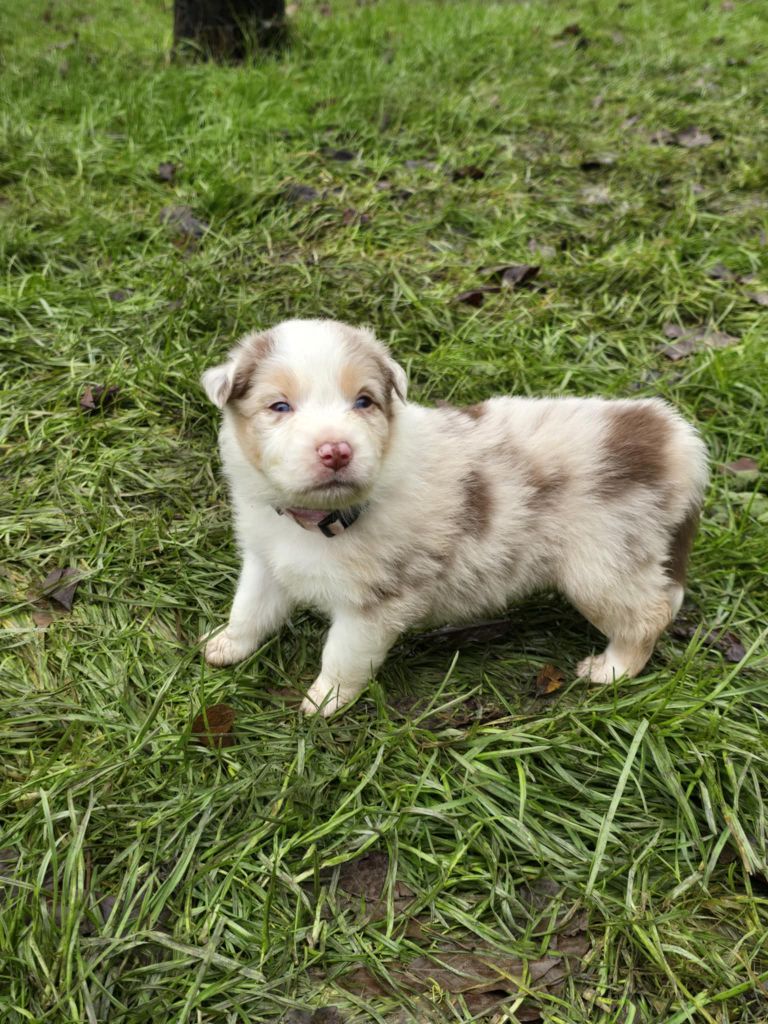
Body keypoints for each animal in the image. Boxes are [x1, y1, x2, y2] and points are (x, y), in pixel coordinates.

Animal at [202, 317, 708, 712]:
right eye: (279, 406)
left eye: (364, 401)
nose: (336, 451)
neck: (318, 519)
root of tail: (675, 439)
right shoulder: (266, 559)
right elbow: (249, 609)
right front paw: (224, 647)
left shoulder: (376, 604)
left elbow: (342, 655)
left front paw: (325, 700)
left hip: (603, 568)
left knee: (647, 616)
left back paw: (612, 669)